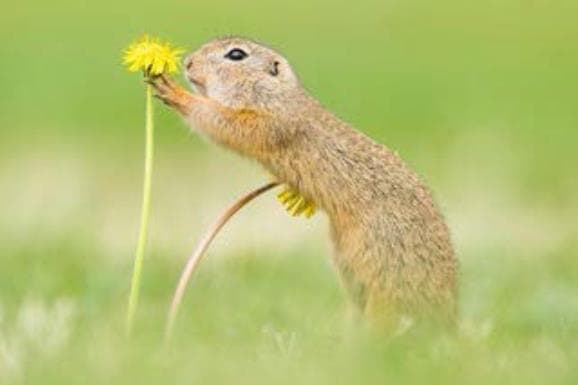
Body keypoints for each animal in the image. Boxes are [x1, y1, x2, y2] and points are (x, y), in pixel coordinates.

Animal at [151, 37, 456, 328]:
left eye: (236, 54)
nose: (188, 63)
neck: (279, 95)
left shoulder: (268, 122)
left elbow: (221, 120)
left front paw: (173, 91)